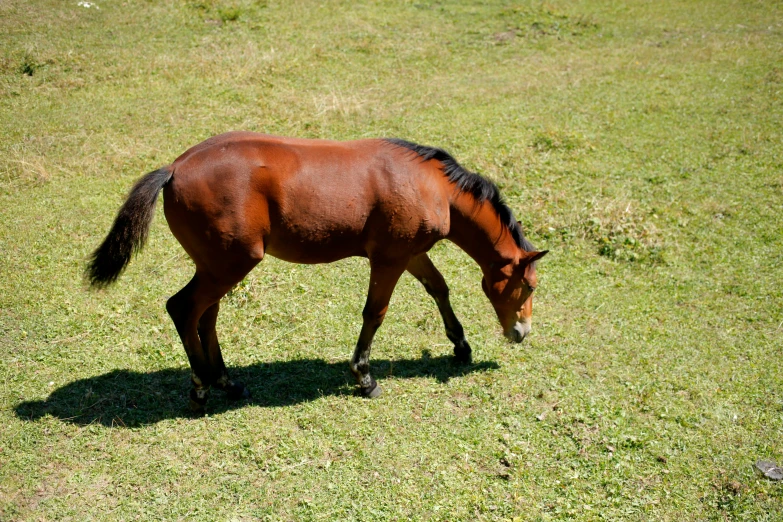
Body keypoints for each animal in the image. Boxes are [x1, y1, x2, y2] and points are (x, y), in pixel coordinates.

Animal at [87, 133, 544, 410]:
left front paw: (460, 346)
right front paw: (364, 377)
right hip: (229, 265)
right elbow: (374, 314)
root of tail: (175, 168)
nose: (521, 333)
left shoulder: (411, 254)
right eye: (527, 287)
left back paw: (226, 382)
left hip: (217, 267)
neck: (429, 185)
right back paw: (200, 388)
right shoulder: (389, 260)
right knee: (183, 309)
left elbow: (439, 288)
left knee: (205, 316)